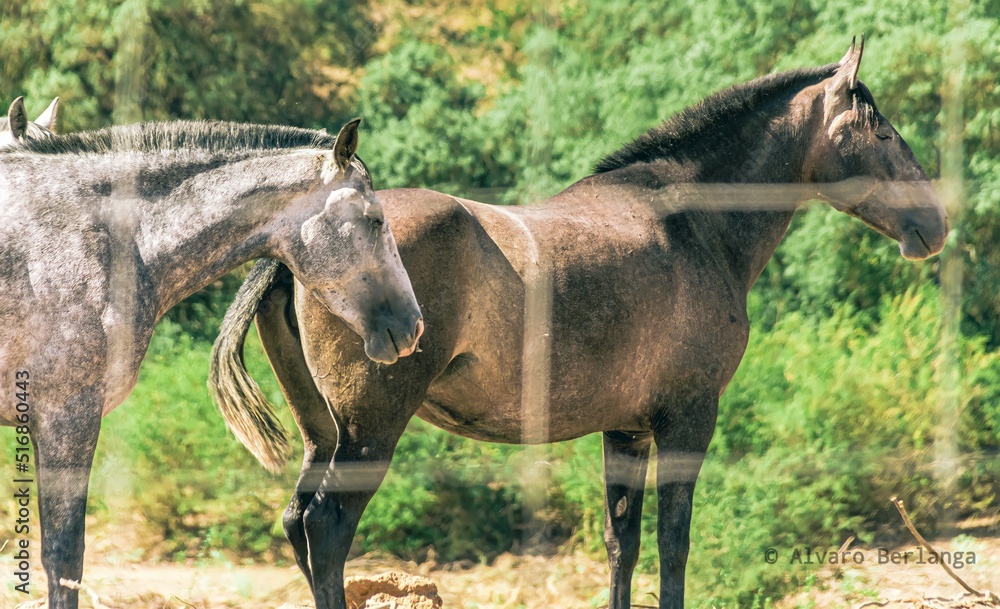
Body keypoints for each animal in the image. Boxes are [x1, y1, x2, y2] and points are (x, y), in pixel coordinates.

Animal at [211, 40, 948, 609]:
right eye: (882, 132)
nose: (936, 224)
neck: (692, 222)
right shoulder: (687, 419)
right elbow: (673, 544)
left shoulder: (625, 430)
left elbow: (622, 543)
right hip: (369, 433)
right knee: (328, 528)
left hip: (325, 434)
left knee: (298, 522)